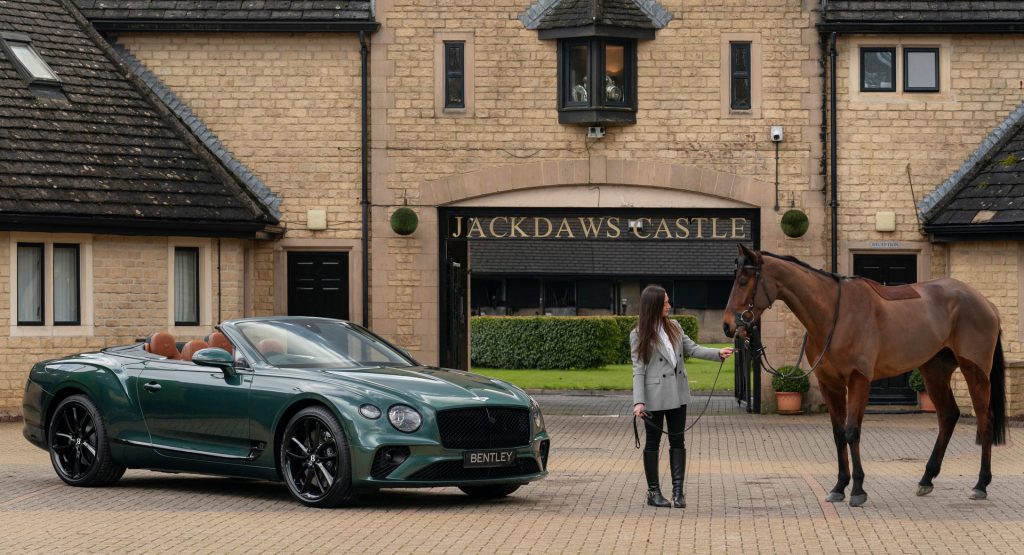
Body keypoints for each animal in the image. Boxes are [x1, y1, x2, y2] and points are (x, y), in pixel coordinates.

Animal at [720, 245, 1007, 507]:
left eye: (743, 281)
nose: (728, 325)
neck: (833, 316)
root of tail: (986, 303)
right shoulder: (830, 384)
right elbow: (838, 434)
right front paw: (839, 486)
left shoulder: (859, 380)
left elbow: (852, 431)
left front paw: (858, 489)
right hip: (934, 371)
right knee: (948, 416)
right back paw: (926, 479)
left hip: (975, 371)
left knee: (985, 420)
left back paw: (980, 484)